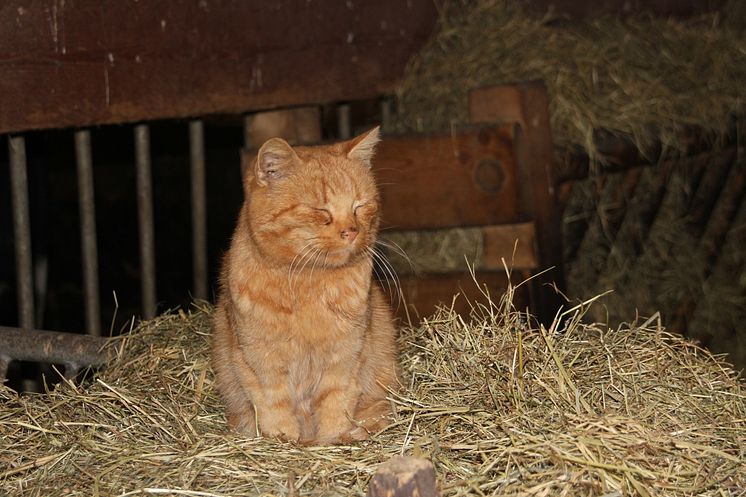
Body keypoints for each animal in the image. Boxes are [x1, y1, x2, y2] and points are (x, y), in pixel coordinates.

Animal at [211, 126, 396, 444]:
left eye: (360, 206)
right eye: (321, 211)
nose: (351, 231)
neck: (309, 282)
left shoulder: (345, 357)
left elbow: (336, 404)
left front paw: (332, 440)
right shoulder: (260, 362)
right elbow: (275, 407)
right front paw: (283, 440)